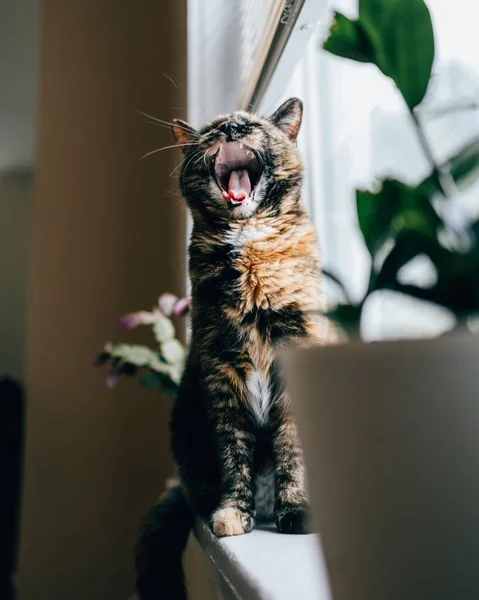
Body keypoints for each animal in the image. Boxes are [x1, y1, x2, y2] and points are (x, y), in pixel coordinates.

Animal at [135, 98, 338, 600]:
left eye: (250, 125)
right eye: (212, 129)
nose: (230, 126)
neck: (251, 255)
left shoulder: (295, 358)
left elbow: (292, 448)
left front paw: (297, 512)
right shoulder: (220, 370)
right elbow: (232, 453)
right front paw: (232, 515)